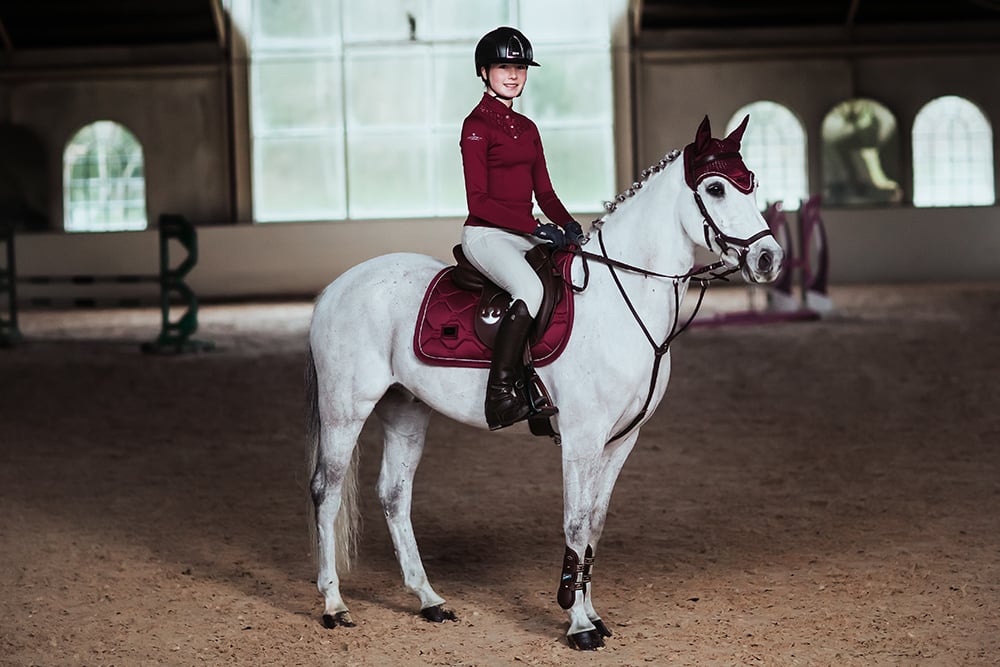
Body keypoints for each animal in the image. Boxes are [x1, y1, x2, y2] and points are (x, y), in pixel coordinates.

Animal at [305, 115, 784, 650]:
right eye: (716, 188)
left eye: (752, 183)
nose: (768, 258)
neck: (623, 296)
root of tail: (336, 287)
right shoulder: (581, 436)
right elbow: (575, 523)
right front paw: (578, 626)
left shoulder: (622, 439)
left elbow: (594, 523)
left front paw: (591, 613)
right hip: (346, 407)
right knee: (326, 490)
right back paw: (334, 605)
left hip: (405, 406)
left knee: (393, 494)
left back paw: (429, 600)